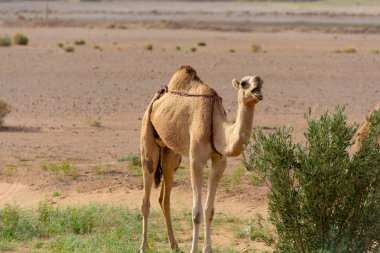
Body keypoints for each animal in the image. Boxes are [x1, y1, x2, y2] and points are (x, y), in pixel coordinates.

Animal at [140, 65, 264, 253]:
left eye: (261, 81)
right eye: (244, 83)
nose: (257, 81)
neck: (217, 127)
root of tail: (158, 97)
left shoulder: (219, 162)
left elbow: (209, 210)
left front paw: (208, 249)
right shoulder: (196, 161)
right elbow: (197, 212)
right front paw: (194, 249)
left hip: (170, 153)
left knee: (164, 198)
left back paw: (174, 244)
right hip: (148, 138)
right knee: (146, 195)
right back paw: (143, 246)